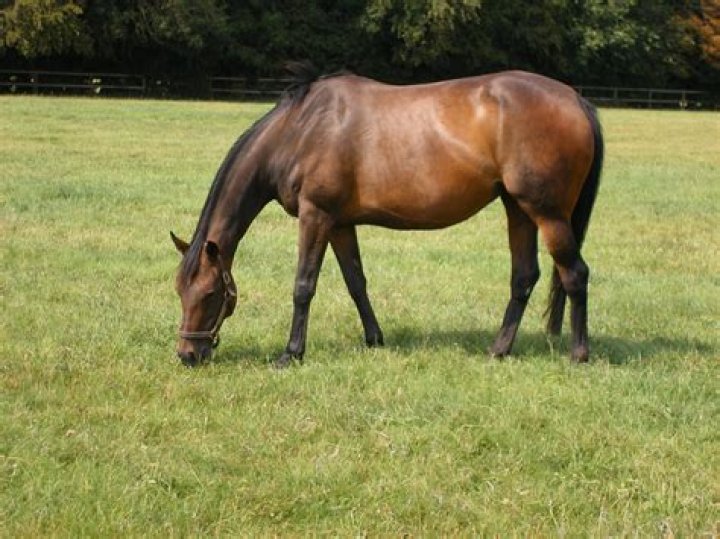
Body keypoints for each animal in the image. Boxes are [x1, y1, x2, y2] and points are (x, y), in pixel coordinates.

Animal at [171, 63, 603, 368]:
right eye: (179, 291)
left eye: (210, 294)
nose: (187, 355)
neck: (301, 130)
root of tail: (576, 100)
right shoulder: (340, 223)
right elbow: (356, 282)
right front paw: (374, 339)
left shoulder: (316, 216)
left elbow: (303, 286)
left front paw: (291, 353)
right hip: (518, 208)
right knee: (524, 277)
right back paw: (498, 350)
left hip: (547, 213)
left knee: (575, 274)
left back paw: (578, 355)